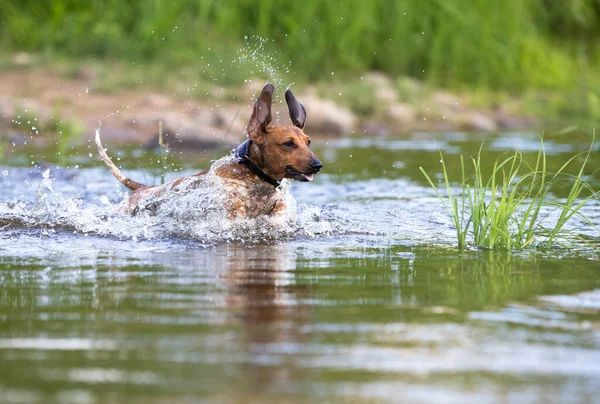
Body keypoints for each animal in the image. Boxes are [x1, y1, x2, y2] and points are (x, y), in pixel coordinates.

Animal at [95, 83, 324, 219]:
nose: (317, 165)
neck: (254, 176)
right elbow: (234, 203)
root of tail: (142, 188)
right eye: (288, 143)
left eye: (308, 142)